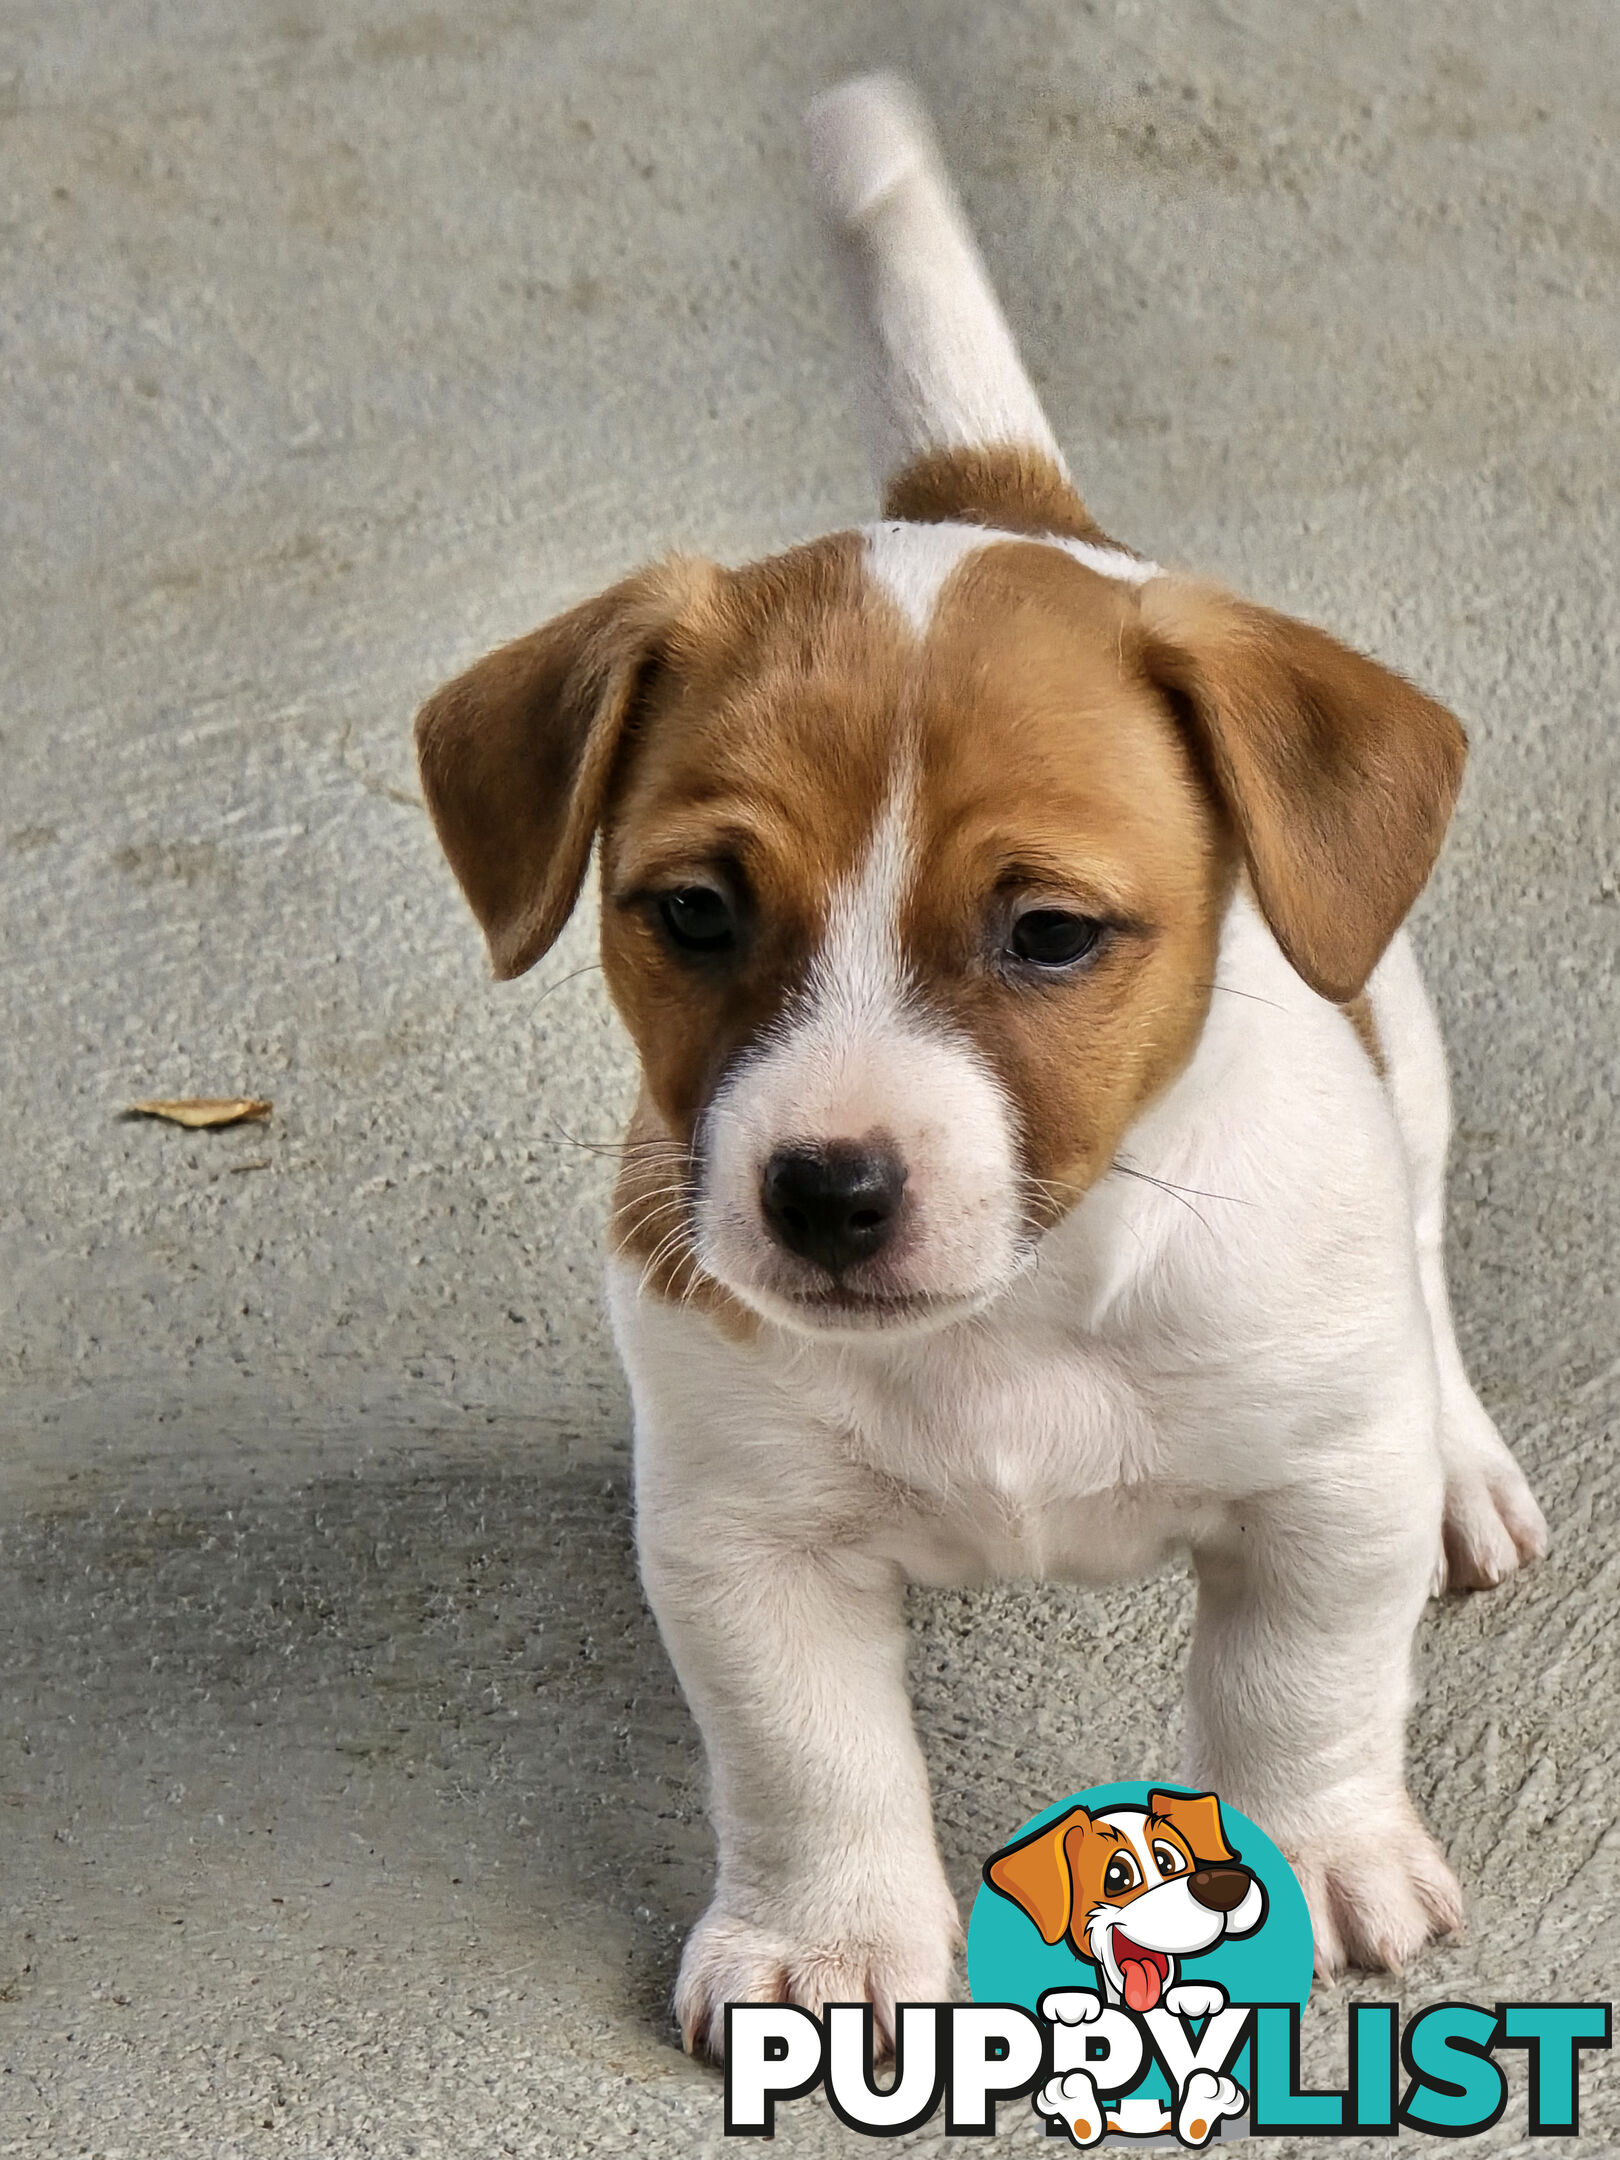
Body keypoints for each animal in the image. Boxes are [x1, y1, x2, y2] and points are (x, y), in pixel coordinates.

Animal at [414, 71, 1546, 2056]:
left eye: (1052, 934)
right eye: (693, 912)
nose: (825, 1190)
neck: (1020, 1309)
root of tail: (996, 503)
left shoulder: (1317, 1502)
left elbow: (1297, 1693)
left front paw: (1321, 1853)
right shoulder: (753, 1551)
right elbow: (812, 1763)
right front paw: (829, 1944)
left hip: (1397, 1059)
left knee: (1416, 1250)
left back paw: (1462, 1464)